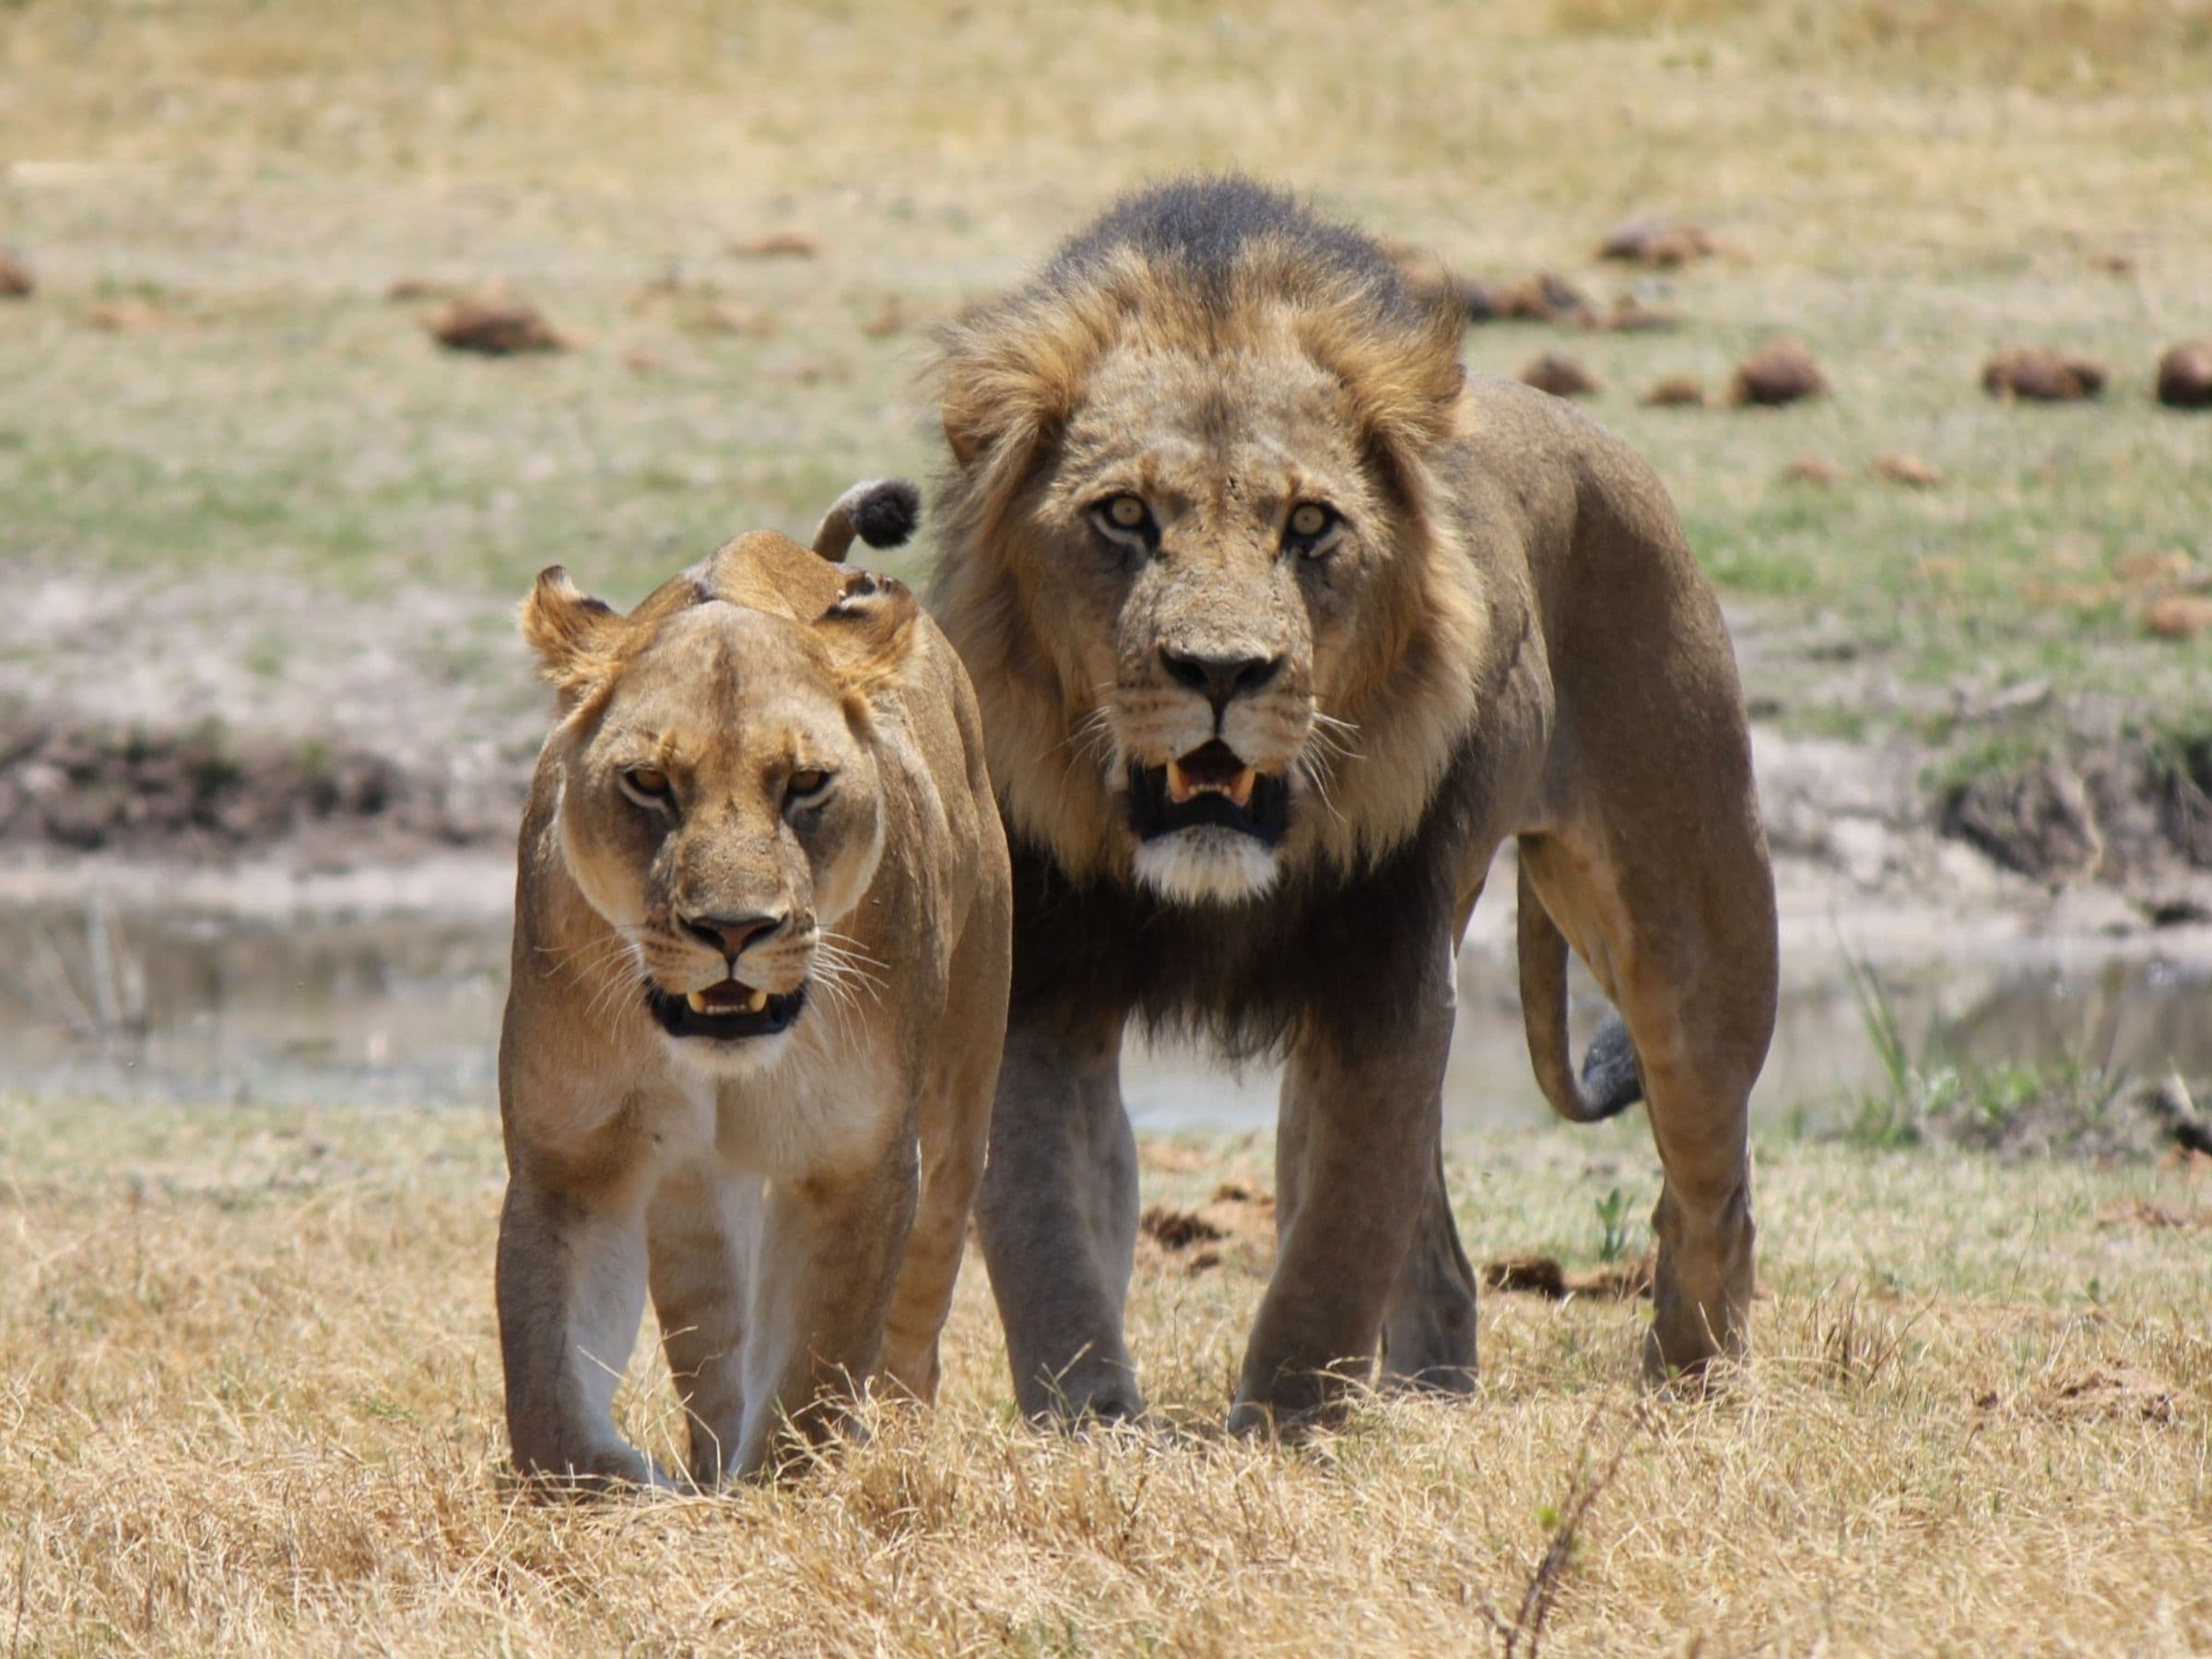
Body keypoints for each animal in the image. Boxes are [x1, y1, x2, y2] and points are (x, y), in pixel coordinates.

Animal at [497, 479, 1011, 1486]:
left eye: (806, 783)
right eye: (648, 782)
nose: (734, 930)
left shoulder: (854, 1156)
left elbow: (815, 1369)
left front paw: (779, 1491)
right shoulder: (571, 1158)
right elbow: (548, 1405)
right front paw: (642, 1489)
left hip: (958, 1108)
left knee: (918, 1313)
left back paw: (897, 1444)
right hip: (697, 1188)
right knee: (713, 1336)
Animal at [927, 178, 1778, 1429]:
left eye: (1310, 525)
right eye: (1124, 516)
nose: (1220, 671)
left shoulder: (1386, 975)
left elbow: (1334, 1247)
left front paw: (1281, 1429)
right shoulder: (1048, 985)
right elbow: (1051, 1237)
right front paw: (1093, 1426)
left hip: (1698, 943)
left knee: (1710, 1192)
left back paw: (1689, 1393)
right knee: (1446, 1264)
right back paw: (1433, 1402)